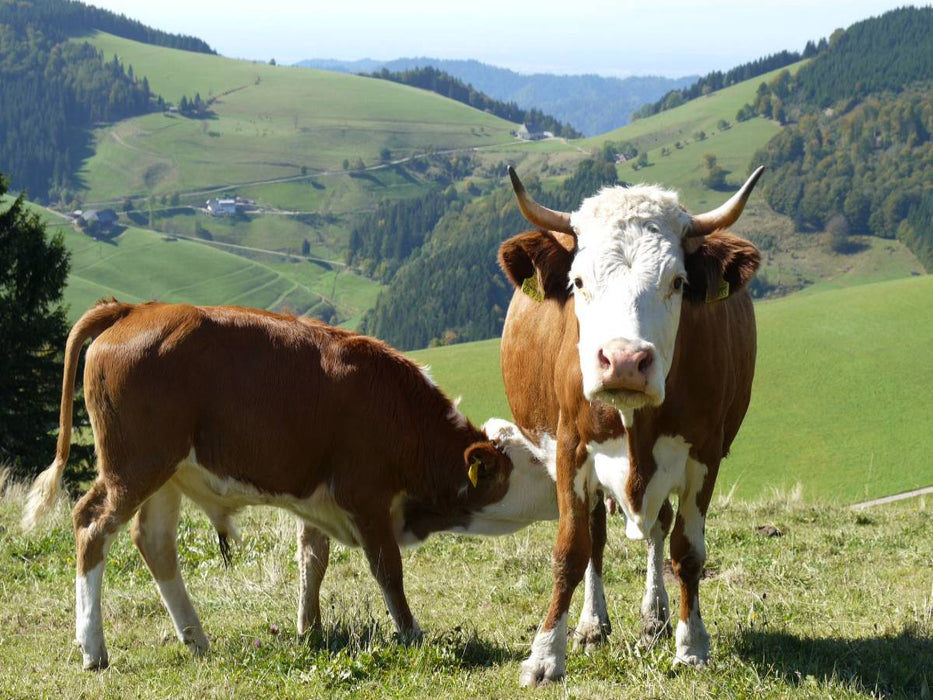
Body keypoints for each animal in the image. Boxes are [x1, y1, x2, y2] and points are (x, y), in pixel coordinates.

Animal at [21, 300, 559, 670]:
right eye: (534, 461)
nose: (567, 479)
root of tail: (135, 307)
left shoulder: (319, 500)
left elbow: (312, 562)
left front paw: (310, 631)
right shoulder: (364, 494)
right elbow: (388, 570)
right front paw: (411, 634)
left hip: (165, 475)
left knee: (153, 542)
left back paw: (195, 637)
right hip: (134, 465)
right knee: (91, 526)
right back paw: (93, 648)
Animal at [498, 166, 762, 686]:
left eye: (677, 281)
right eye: (579, 281)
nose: (623, 362)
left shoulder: (704, 455)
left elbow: (688, 552)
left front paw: (691, 644)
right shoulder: (569, 449)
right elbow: (571, 550)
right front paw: (545, 654)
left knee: (659, 528)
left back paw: (655, 616)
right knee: (597, 537)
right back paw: (591, 623)